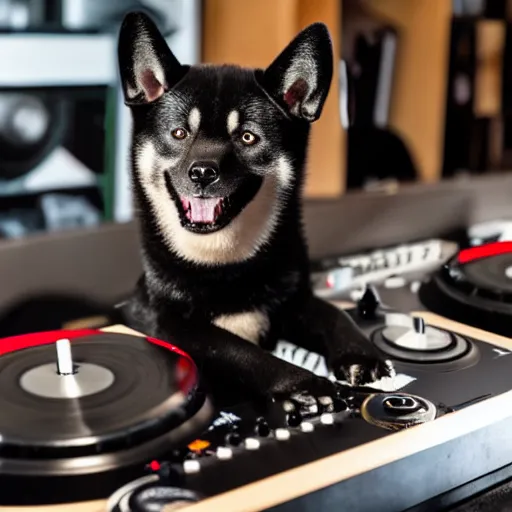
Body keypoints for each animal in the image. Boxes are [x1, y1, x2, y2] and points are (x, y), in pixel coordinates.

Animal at [117, 11, 396, 404]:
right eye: (179, 133)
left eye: (247, 137)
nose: (202, 172)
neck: (223, 262)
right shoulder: (169, 322)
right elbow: (239, 350)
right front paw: (302, 384)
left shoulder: (295, 301)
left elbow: (335, 315)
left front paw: (360, 355)